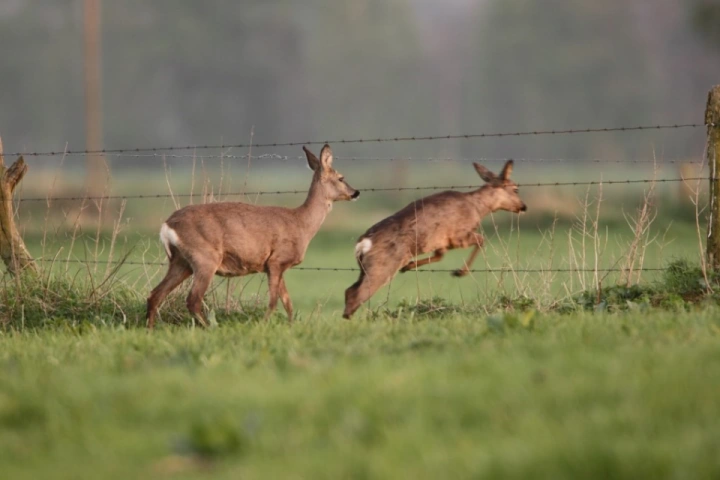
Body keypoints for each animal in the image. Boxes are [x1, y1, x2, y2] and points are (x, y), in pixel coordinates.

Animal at [146, 144, 360, 328]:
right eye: (341, 178)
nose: (356, 192)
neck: (301, 224)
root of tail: (167, 225)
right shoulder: (276, 260)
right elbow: (274, 302)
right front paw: (263, 326)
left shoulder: (276, 266)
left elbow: (288, 303)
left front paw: (291, 328)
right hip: (205, 256)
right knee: (192, 299)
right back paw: (210, 328)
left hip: (181, 261)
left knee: (155, 294)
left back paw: (150, 330)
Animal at [344, 159, 524, 320]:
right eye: (516, 189)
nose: (524, 207)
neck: (477, 207)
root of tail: (363, 243)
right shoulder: (459, 235)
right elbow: (481, 240)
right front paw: (459, 272)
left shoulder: (441, 242)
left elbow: (439, 256)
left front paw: (408, 266)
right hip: (382, 266)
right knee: (357, 293)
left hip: (365, 268)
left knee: (349, 290)